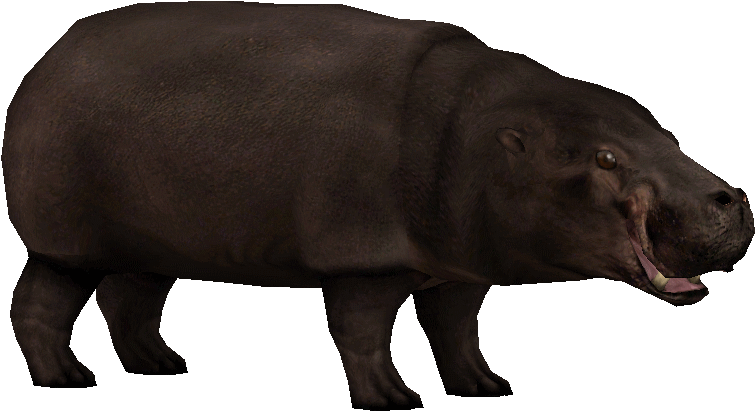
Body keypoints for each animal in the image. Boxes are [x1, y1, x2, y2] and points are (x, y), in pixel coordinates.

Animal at [5, 1, 753, 407]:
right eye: (604, 158)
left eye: (668, 132)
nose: (731, 197)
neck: (482, 133)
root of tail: (49, 57)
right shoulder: (363, 259)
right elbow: (362, 333)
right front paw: (393, 398)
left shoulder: (461, 268)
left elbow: (456, 330)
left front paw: (484, 385)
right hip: (65, 239)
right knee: (41, 306)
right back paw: (66, 378)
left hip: (153, 241)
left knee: (130, 299)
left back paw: (161, 365)